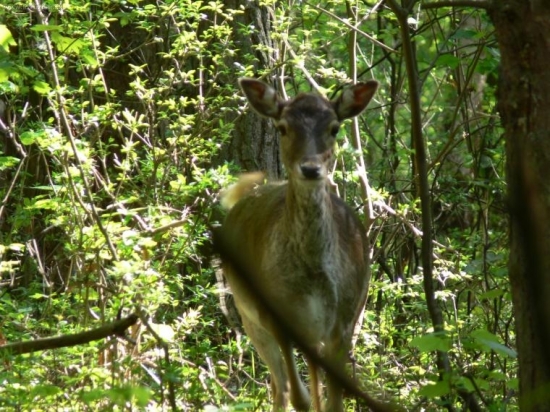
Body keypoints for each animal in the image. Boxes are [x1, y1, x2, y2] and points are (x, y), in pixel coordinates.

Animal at [220, 78, 380, 412]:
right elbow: (299, 397)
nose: (310, 168)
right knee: (279, 387)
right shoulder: (276, 316)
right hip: (248, 313)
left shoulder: (345, 320)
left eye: (334, 128)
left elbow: (333, 401)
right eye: (282, 127)